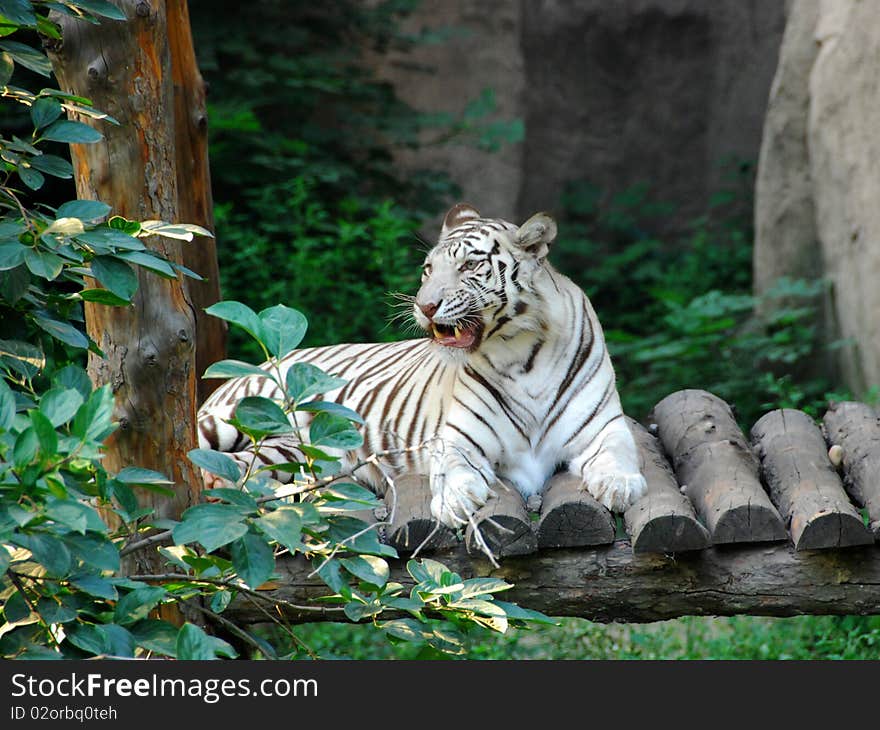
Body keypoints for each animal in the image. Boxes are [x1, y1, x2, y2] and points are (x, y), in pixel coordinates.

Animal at [203, 202, 648, 528]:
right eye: (428, 270)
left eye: (470, 266)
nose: (425, 305)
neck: (522, 355)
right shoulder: (457, 438)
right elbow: (455, 467)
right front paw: (455, 499)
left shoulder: (603, 426)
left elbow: (619, 451)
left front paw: (620, 485)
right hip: (231, 416)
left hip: (285, 451)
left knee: (245, 467)